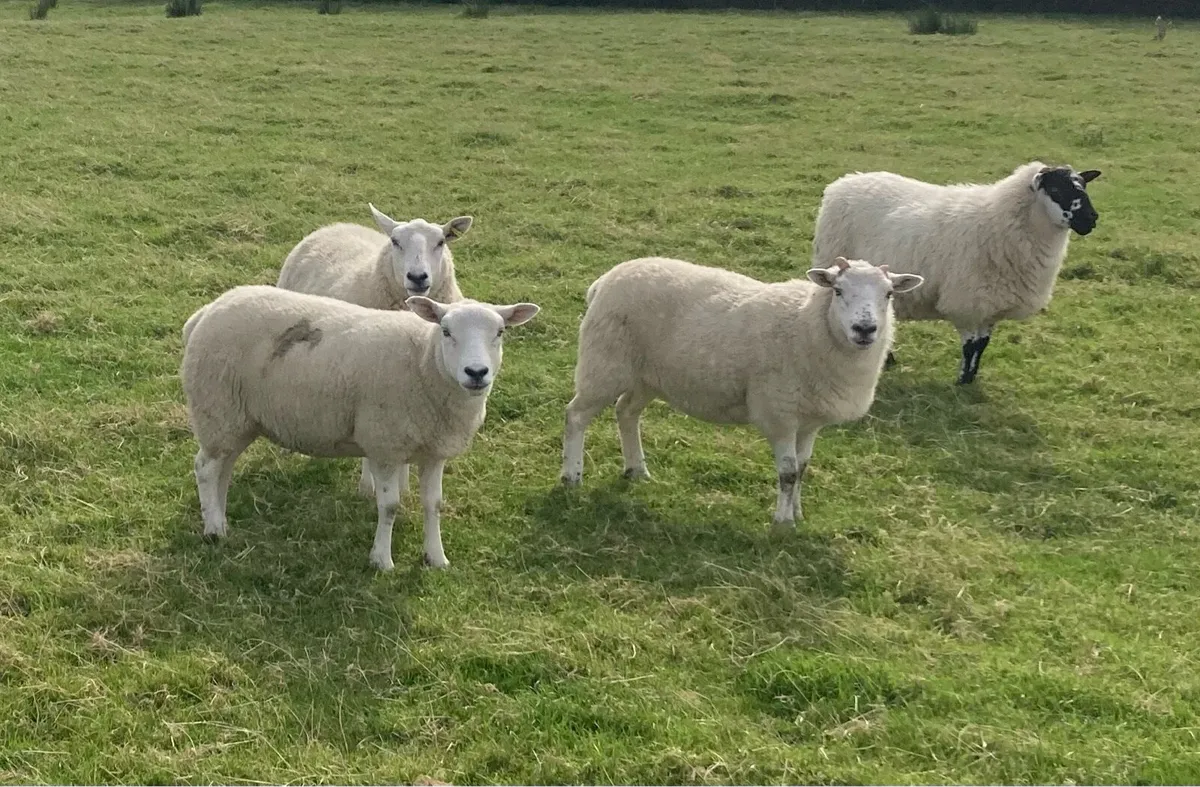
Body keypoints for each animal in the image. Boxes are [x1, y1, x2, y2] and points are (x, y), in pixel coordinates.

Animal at [180, 285, 539, 571]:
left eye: (500, 332)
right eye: (446, 331)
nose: (476, 372)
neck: (424, 361)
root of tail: (205, 312)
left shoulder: (434, 450)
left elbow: (433, 504)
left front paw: (436, 558)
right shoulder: (384, 445)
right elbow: (389, 506)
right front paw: (381, 560)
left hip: (236, 420)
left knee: (223, 468)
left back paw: (219, 517)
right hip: (216, 408)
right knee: (205, 468)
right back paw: (213, 530)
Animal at [276, 204, 474, 498]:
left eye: (441, 242)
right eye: (395, 241)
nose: (417, 277)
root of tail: (335, 226)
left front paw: (403, 488)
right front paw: (368, 487)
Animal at [560, 256, 923, 528]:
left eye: (889, 294)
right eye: (837, 290)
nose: (865, 329)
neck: (809, 323)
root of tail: (604, 281)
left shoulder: (809, 420)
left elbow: (803, 469)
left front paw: (797, 514)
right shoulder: (780, 412)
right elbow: (788, 473)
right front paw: (782, 523)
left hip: (647, 376)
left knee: (626, 412)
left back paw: (637, 470)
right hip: (604, 363)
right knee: (575, 416)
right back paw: (571, 476)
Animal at [812, 161, 1101, 385]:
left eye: (1083, 186)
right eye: (1055, 189)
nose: (1091, 219)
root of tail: (846, 181)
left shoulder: (990, 304)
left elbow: (982, 345)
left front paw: (971, 379)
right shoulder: (967, 301)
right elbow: (970, 345)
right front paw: (962, 381)